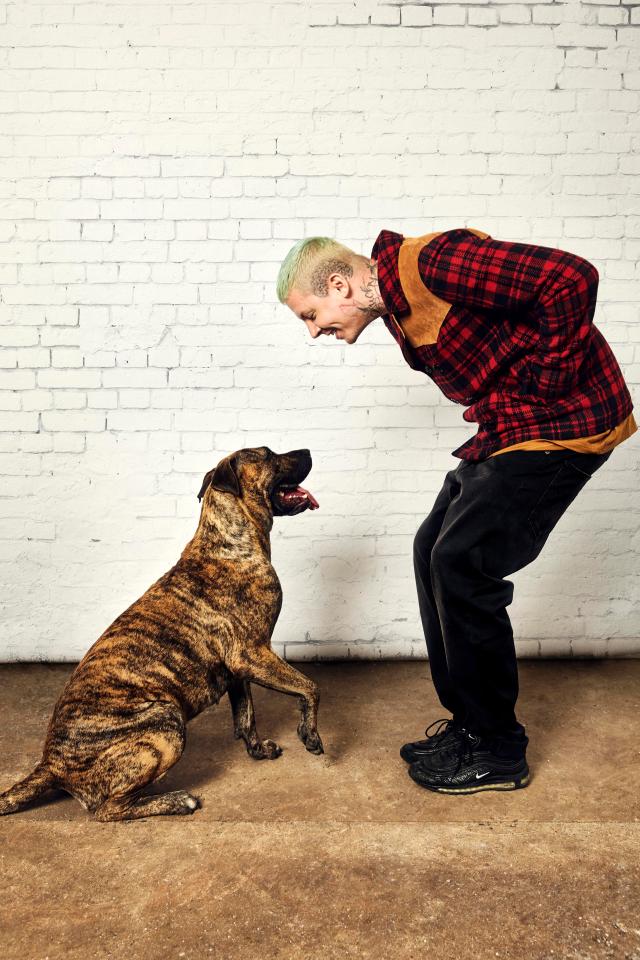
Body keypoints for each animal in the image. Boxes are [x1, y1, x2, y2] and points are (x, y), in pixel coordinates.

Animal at [0, 446, 322, 820]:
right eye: (269, 455)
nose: (308, 450)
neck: (229, 540)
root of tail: (51, 765)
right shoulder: (254, 654)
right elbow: (309, 687)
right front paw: (310, 735)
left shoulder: (239, 669)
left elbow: (246, 717)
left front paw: (259, 750)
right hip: (166, 722)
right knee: (109, 809)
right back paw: (177, 801)